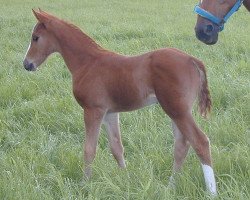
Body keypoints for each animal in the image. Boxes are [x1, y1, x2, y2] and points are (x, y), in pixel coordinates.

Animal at [23, 10, 217, 195]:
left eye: (35, 37)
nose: (26, 64)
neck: (88, 62)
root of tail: (192, 60)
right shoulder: (110, 113)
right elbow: (117, 148)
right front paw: (126, 181)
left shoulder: (93, 110)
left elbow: (89, 149)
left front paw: (84, 185)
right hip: (176, 111)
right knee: (181, 146)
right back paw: (170, 187)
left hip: (178, 111)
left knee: (200, 142)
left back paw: (211, 192)